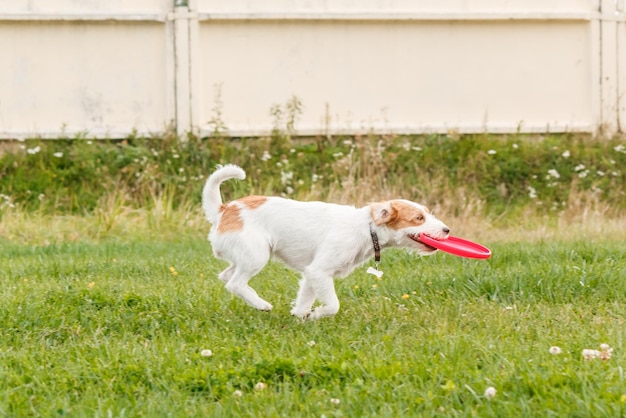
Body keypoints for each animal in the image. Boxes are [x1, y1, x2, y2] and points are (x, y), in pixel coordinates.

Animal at [201, 164, 448, 320]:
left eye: (427, 213)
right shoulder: (319, 271)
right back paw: (261, 304)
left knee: (226, 276)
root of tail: (224, 210)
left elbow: (304, 299)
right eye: (419, 218)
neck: (367, 228)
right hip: (257, 255)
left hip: (245, 255)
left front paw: (301, 315)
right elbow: (333, 305)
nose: (447, 230)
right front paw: (317, 314)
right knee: (235, 283)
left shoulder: (312, 275)